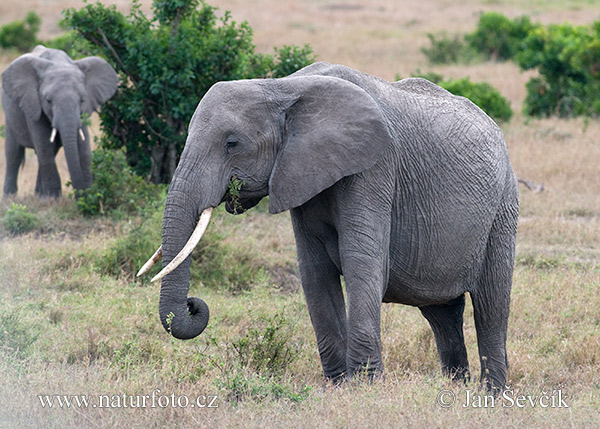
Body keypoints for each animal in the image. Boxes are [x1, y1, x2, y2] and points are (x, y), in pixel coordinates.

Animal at [1, 44, 118, 196]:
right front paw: (53, 199)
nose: (81, 193)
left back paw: (39, 195)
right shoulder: (33, 105)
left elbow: (83, 148)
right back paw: (10, 197)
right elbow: (44, 146)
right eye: (48, 101)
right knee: (14, 153)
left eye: (82, 100)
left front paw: (88, 196)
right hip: (9, 115)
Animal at [138, 61, 516, 392]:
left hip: (503, 206)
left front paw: (364, 389)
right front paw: (337, 386)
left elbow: (362, 262)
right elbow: (314, 271)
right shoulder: (300, 173)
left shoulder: (375, 167)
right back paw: (456, 389)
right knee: (443, 314)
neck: (282, 87)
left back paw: (490, 395)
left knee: (491, 306)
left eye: (232, 143)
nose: (194, 304)